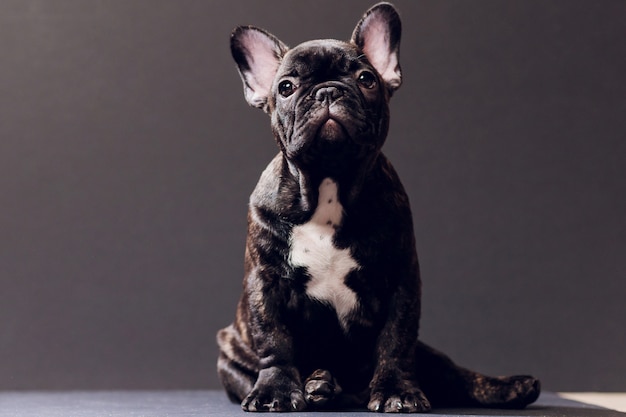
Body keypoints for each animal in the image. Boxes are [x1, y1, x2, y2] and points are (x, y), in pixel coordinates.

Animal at [217, 1, 540, 412]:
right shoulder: (266, 281)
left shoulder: (399, 279)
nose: (327, 91)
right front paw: (274, 390)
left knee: (453, 373)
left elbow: (395, 342)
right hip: (230, 352)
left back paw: (510, 387)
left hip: (430, 355)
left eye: (367, 79)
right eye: (286, 87)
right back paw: (319, 385)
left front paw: (396, 391)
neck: (329, 184)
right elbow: (274, 339)